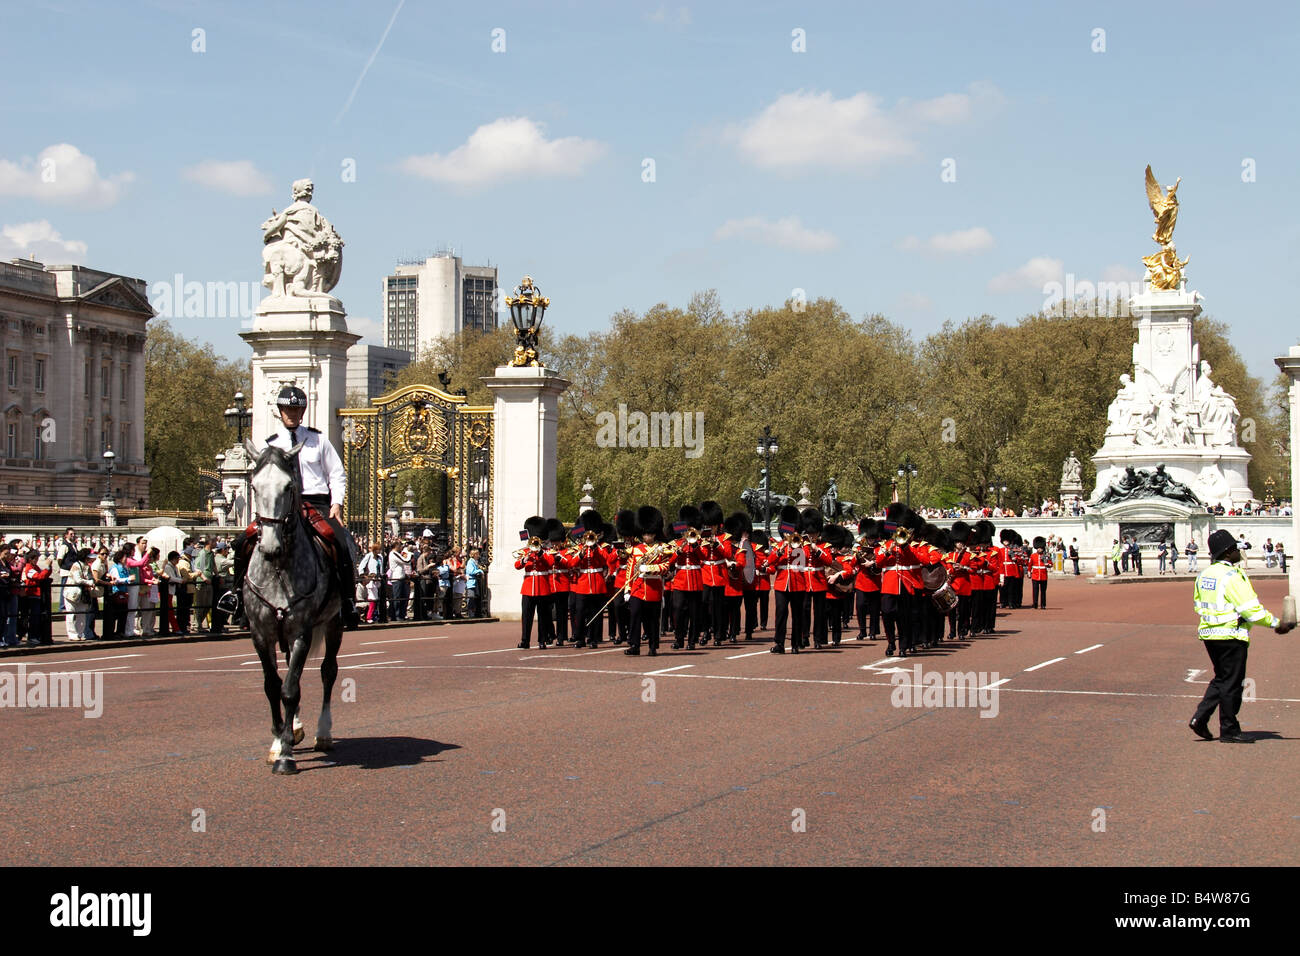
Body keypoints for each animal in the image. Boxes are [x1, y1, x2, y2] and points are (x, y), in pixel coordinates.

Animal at [244, 437, 343, 775]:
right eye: (254, 485)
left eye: (289, 486)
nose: (270, 546)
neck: (279, 569)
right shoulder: (261, 633)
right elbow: (273, 685)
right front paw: (278, 742)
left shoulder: (302, 630)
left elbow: (290, 688)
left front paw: (286, 755)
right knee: (290, 673)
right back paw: (296, 727)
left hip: (334, 623)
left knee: (328, 671)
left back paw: (323, 733)